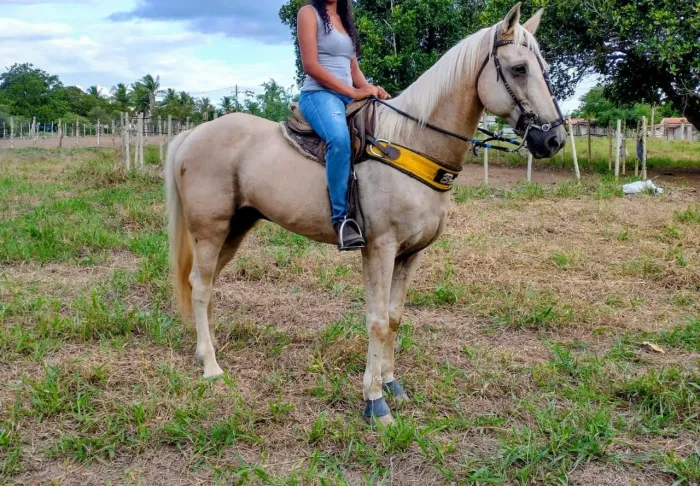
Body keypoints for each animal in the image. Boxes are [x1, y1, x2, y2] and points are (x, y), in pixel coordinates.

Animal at [165, 3, 566, 425]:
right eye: (519, 68)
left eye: (543, 67)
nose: (553, 139)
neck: (413, 142)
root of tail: (194, 134)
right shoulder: (379, 249)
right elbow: (376, 321)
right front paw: (374, 401)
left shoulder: (411, 254)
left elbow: (394, 317)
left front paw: (391, 383)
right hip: (210, 231)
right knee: (201, 286)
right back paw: (211, 366)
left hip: (235, 228)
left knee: (204, 284)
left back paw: (204, 350)